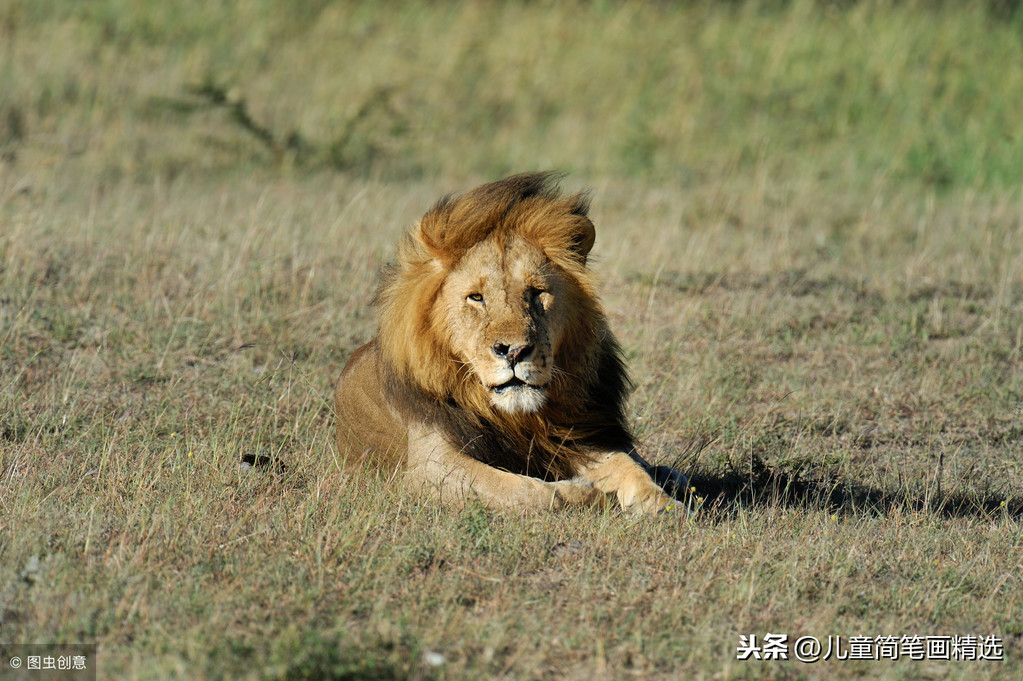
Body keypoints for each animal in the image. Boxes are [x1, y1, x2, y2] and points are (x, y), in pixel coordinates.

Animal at [335, 170, 687, 515]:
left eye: (536, 292)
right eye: (476, 298)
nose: (514, 352)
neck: (518, 418)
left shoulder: (577, 435)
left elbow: (627, 464)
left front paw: (662, 505)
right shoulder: (428, 466)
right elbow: (522, 489)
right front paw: (588, 494)